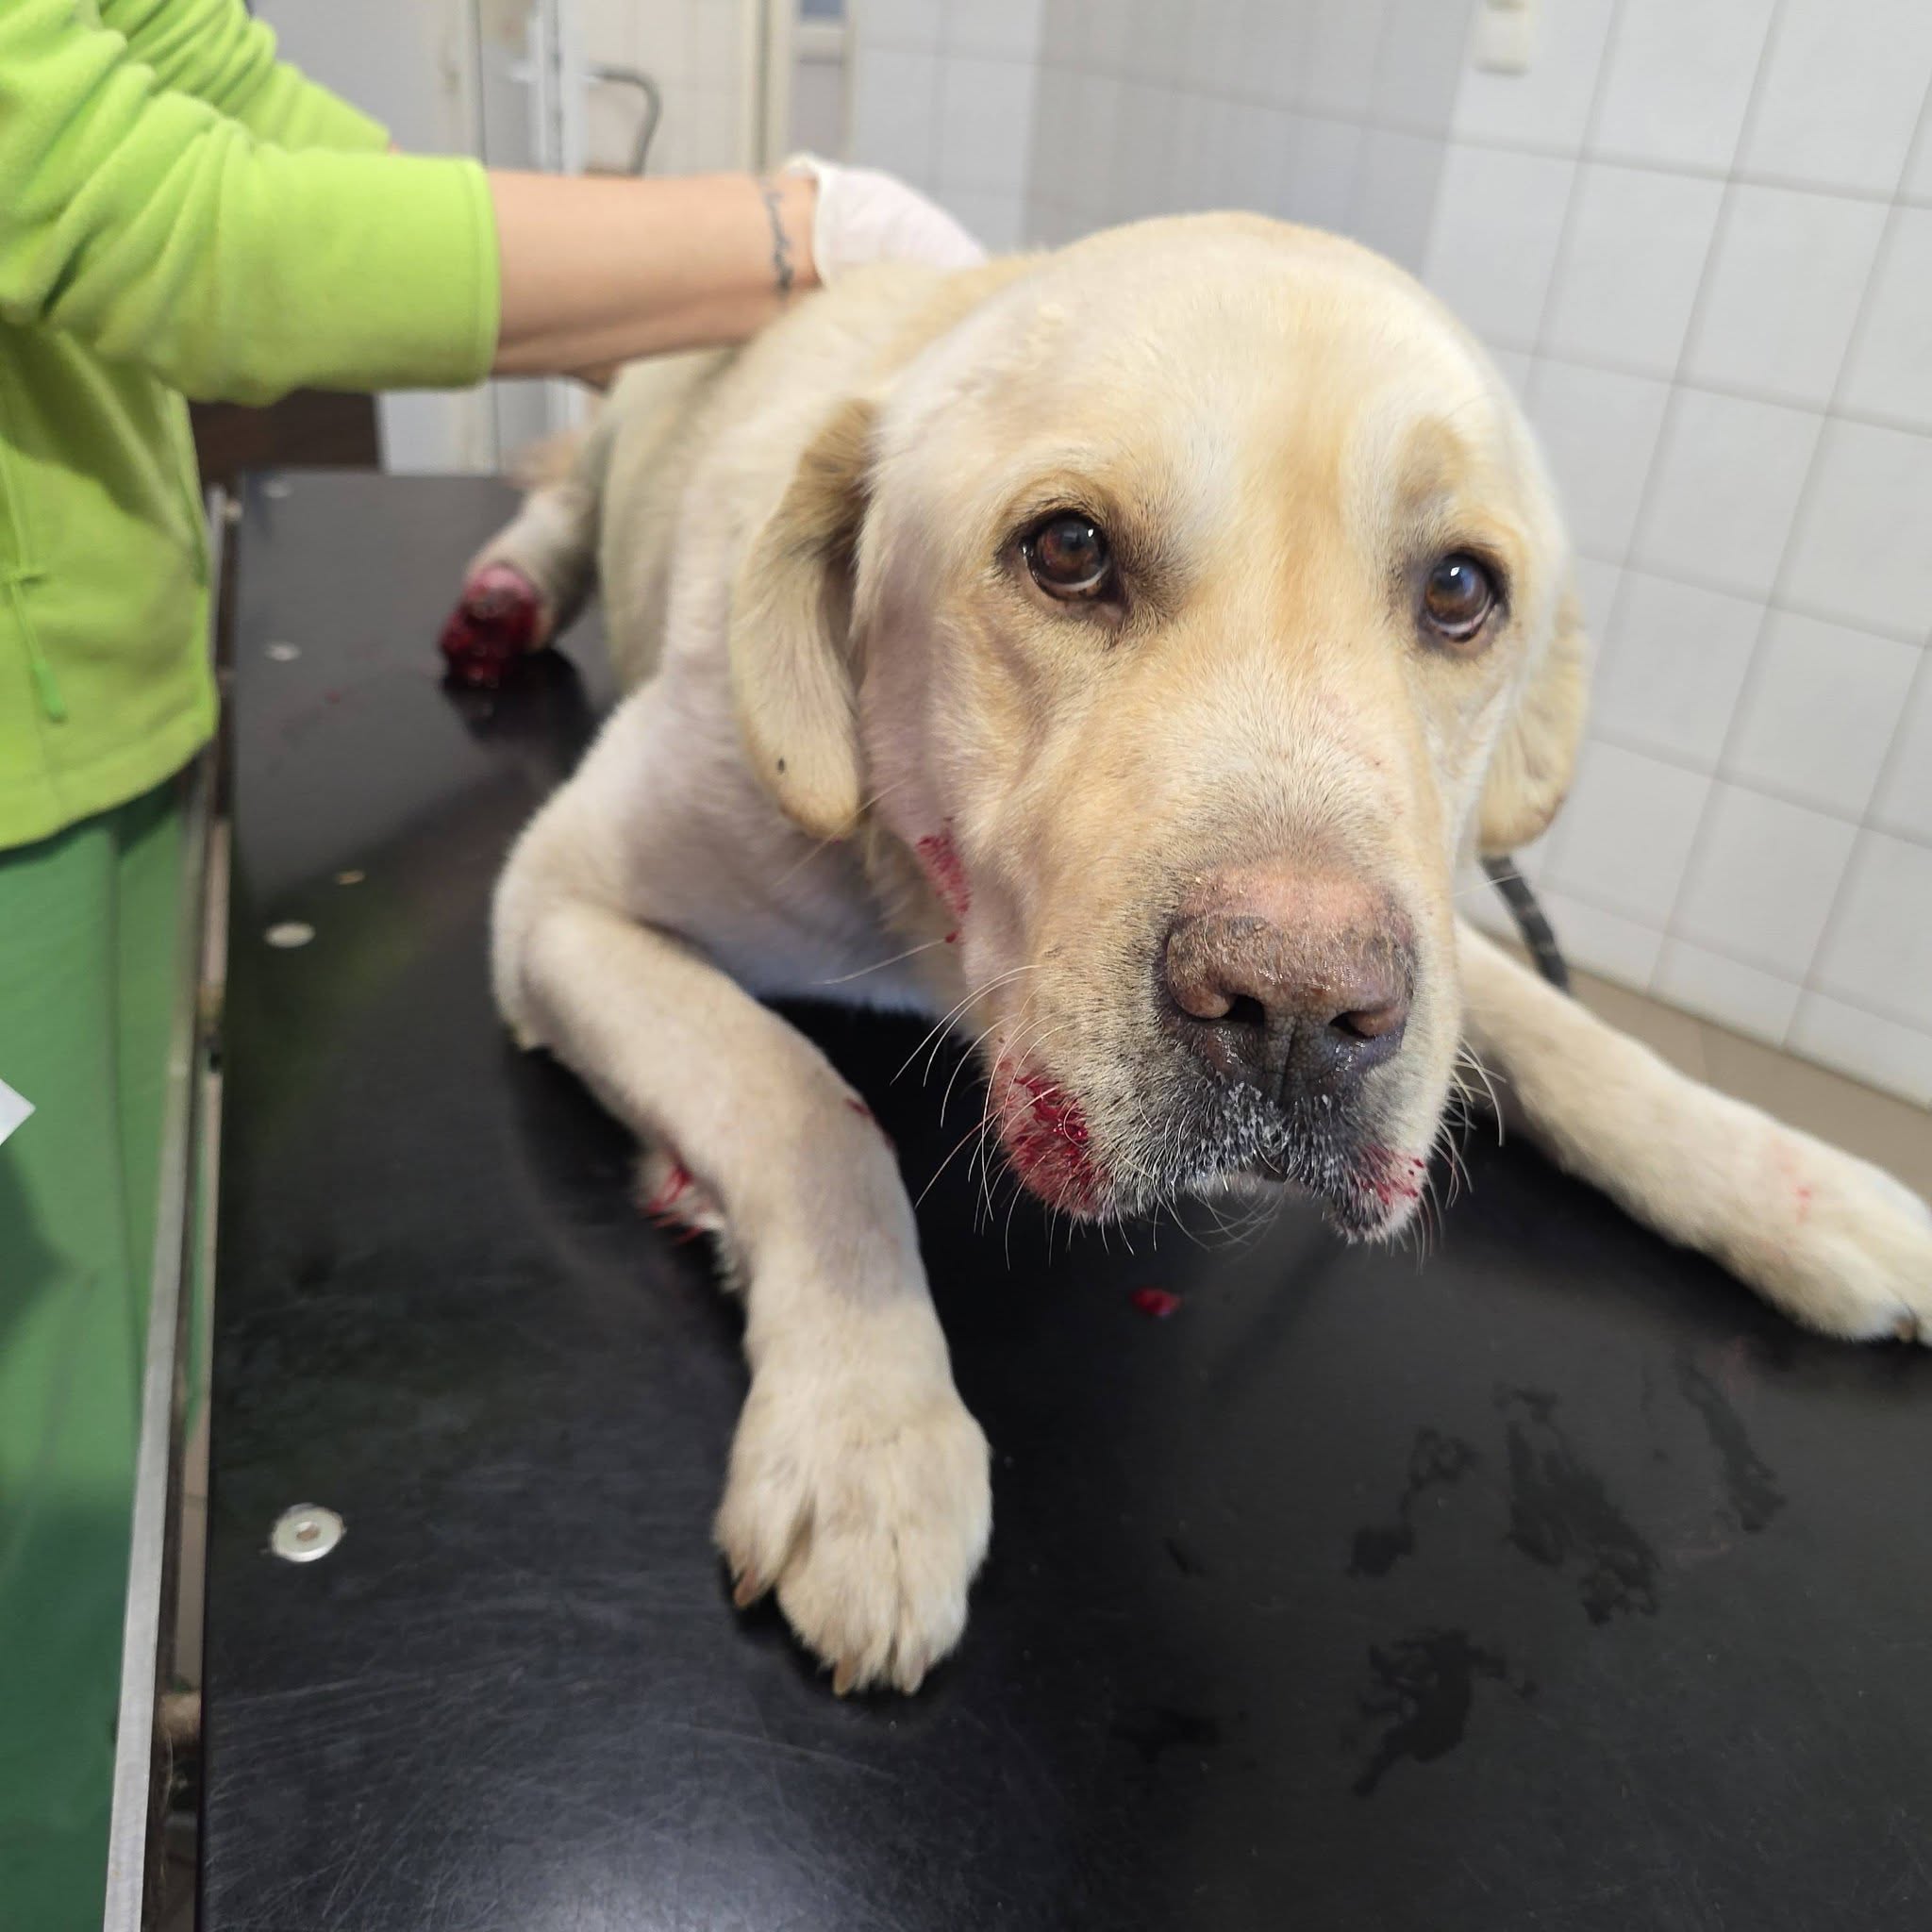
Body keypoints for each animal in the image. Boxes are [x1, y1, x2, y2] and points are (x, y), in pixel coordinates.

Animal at [448, 216, 1932, 1696]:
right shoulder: (558, 900)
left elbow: (1568, 1035)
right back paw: (507, 592)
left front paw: (1792, 1185)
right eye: (1065, 550)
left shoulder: (1430, 925)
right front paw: (871, 1428)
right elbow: (806, 1108)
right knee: (559, 505)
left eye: (1460, 590)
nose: (1296, 1007)